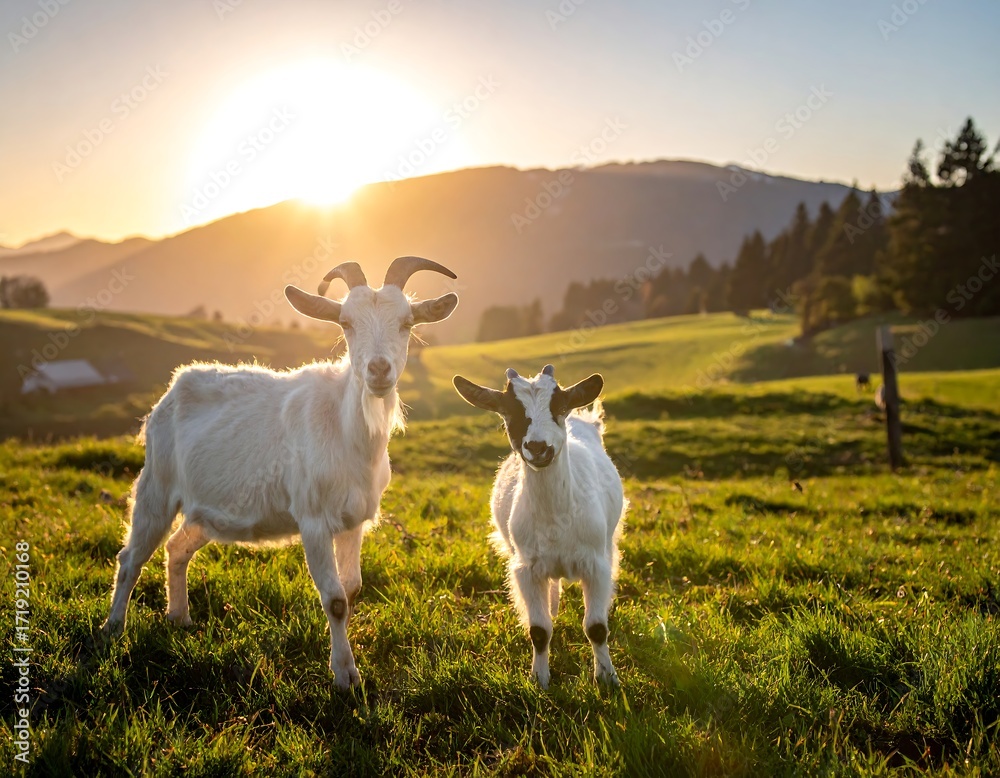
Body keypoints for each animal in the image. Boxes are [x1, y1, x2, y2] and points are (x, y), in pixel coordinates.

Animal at [101, 257, 459, 689]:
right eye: (346, 323)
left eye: (407, 322)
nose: (378, 369)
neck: (346, 431)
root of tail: (172, 389)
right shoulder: (313, 518)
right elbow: (335, 599)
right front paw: (345, 676)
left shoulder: (354, 520)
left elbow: (352, 589)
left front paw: (346, 661)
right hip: (158, 482)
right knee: (130, 557)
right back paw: (113, 628)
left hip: (208, 510)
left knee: (176, 548)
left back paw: (179, 618)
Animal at [453, 364, 626, 688]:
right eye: (510, 411)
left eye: (557, 406)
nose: (538, 447)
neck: (556, 517)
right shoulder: (527, 568)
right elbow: (539, 630)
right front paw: (540, 679)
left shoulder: (595, 564)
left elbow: (596, 627)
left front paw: (607, 678)